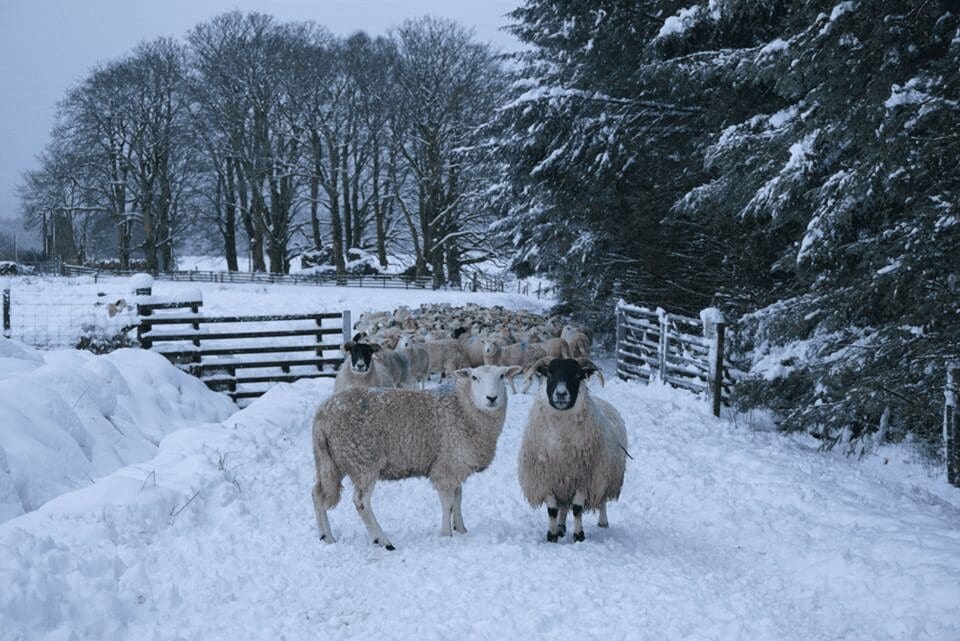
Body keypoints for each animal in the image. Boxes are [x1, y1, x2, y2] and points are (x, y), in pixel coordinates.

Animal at [311, 364, 524, 550]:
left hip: (333, 461)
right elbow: (448, 502)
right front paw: (446, 535)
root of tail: (323, 413)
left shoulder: (454, 465)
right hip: (363, 460)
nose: (492, 398)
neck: (463, 407)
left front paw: (461, 529)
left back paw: (326, 537)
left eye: (502, 376)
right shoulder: (445, 467)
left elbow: (458, 497)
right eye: (474, 378)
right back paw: (382, 540)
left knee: (317, 494)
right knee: (361, 501)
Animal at [518, 357, 627, 543]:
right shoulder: (547, 479)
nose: (561, 394)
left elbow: (577, 509)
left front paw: (578, 535)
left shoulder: (585, 478)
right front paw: (552, 535)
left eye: (577, 375)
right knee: (562, 506)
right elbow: (552, 510)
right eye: (549, 373)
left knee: (602, 499)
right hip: (565, 483)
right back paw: (561, 527)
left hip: (605, 475)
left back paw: (603, 522)